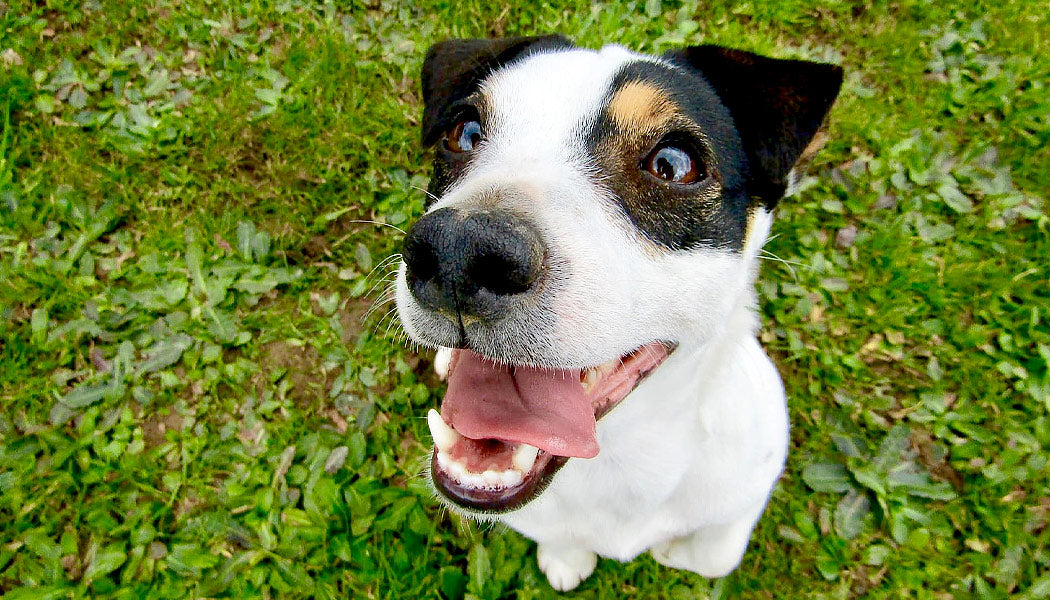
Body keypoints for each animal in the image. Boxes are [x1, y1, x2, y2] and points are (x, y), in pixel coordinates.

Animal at [394, 34, 844, 592]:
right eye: (465, 132)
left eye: (673, 164)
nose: (458, 250)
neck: (618, 451)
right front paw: (567, 558)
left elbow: (714, 555)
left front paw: (676, 549)